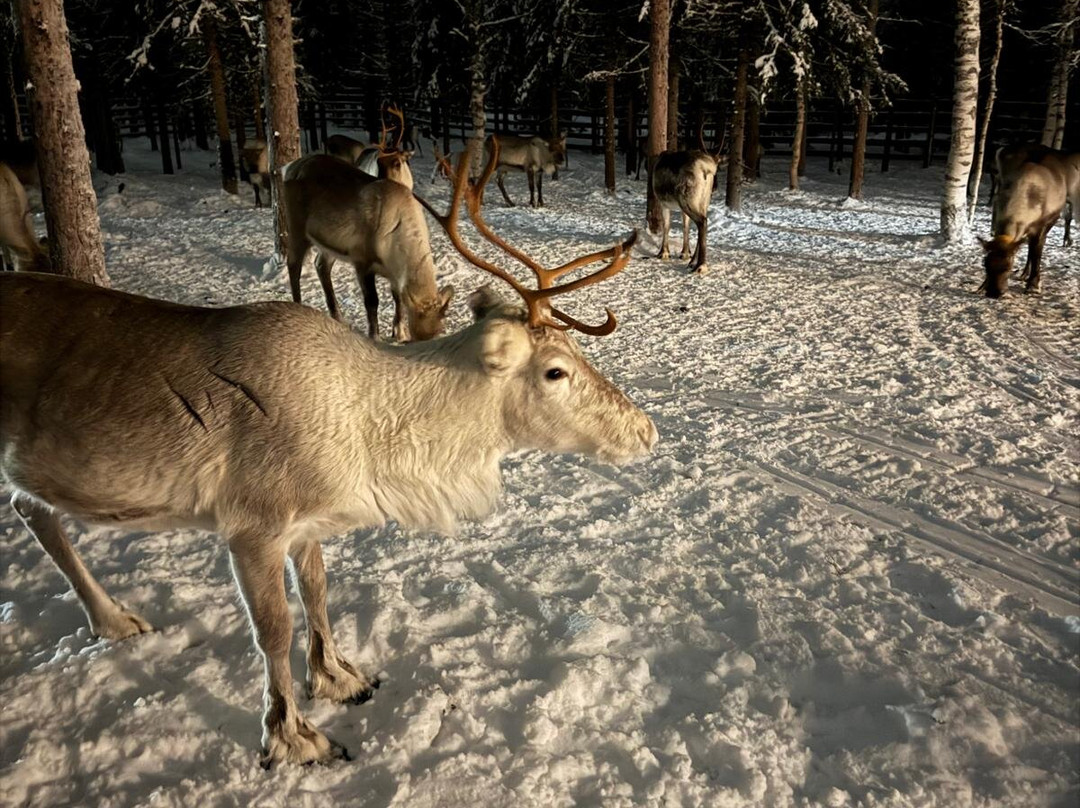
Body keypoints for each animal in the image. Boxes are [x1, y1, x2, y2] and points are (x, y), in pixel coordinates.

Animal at [282, 153, 452, 341]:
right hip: (296, 226)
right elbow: (372, 301)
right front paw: (375, 336)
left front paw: (399, 332)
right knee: (293, 265)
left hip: (329, 243)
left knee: (321, 264)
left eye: (439, 332)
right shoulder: (361, 259)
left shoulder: (393, 272)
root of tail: (290, 167)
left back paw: (339, 317)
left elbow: (398, 298)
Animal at [650, 132, 727, 274]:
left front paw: (663, 253)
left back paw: (701, 265)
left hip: (687, 199)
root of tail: (706, 168)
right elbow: (685, 226)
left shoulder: (663, 203)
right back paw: (692, 262)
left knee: (702, 222)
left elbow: (666, 226)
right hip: (703, 201)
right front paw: (685, 253)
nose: (716, 187)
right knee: (702, 223)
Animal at [981, 157, 1070, 298]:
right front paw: (982, 285)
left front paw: (1033, 285)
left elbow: (1036, 253)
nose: (993, 293)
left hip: (1051, 221)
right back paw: (1024, 274)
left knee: (1036, 248)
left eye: (1008, 267)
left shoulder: (1039, 227)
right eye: (986, 264)